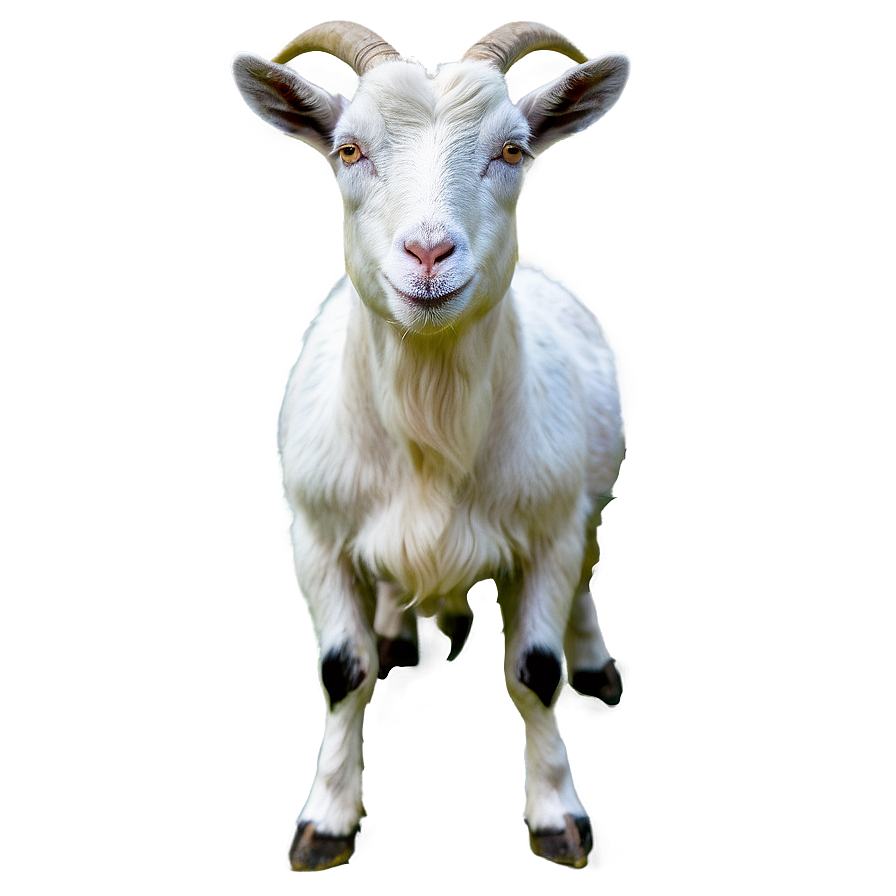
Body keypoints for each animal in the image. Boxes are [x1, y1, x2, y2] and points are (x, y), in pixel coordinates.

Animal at [231, 20, 630, 871]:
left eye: (514, 149)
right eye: (348, 149)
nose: (427, 254)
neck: (431, 429)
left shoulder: (549, 532)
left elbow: (535, 671)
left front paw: (557, 814)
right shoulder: (315, 534)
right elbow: (341, 673)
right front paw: (328, 818)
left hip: (593, 498)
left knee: (586, 585)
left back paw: (597, 665)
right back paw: (393, 634)